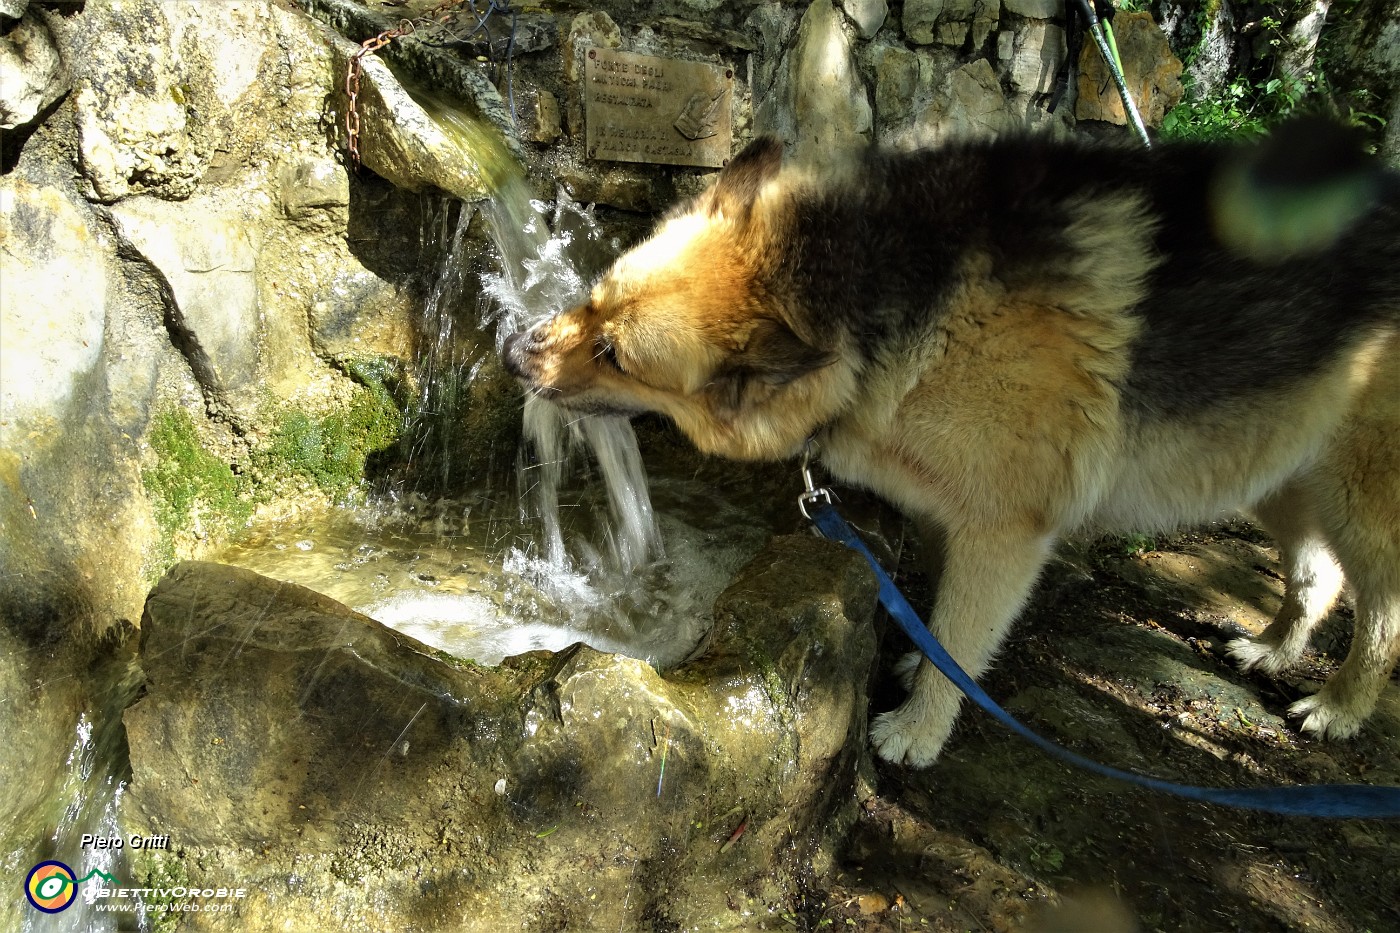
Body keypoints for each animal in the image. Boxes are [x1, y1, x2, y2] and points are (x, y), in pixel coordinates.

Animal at [509, 121, 1400, 762]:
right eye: (591, 298)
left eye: (615, 354)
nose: (516, 350)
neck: (875, 292)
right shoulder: (948, 510)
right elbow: (940, 617)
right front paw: (921, 663)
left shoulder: (1004, 532)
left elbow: (964, 634)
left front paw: (917, 729)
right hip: (1275, 466)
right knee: (1318, 573)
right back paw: (1276, 648)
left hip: (1358, 497)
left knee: (1381, 609)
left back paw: (1339, 707)